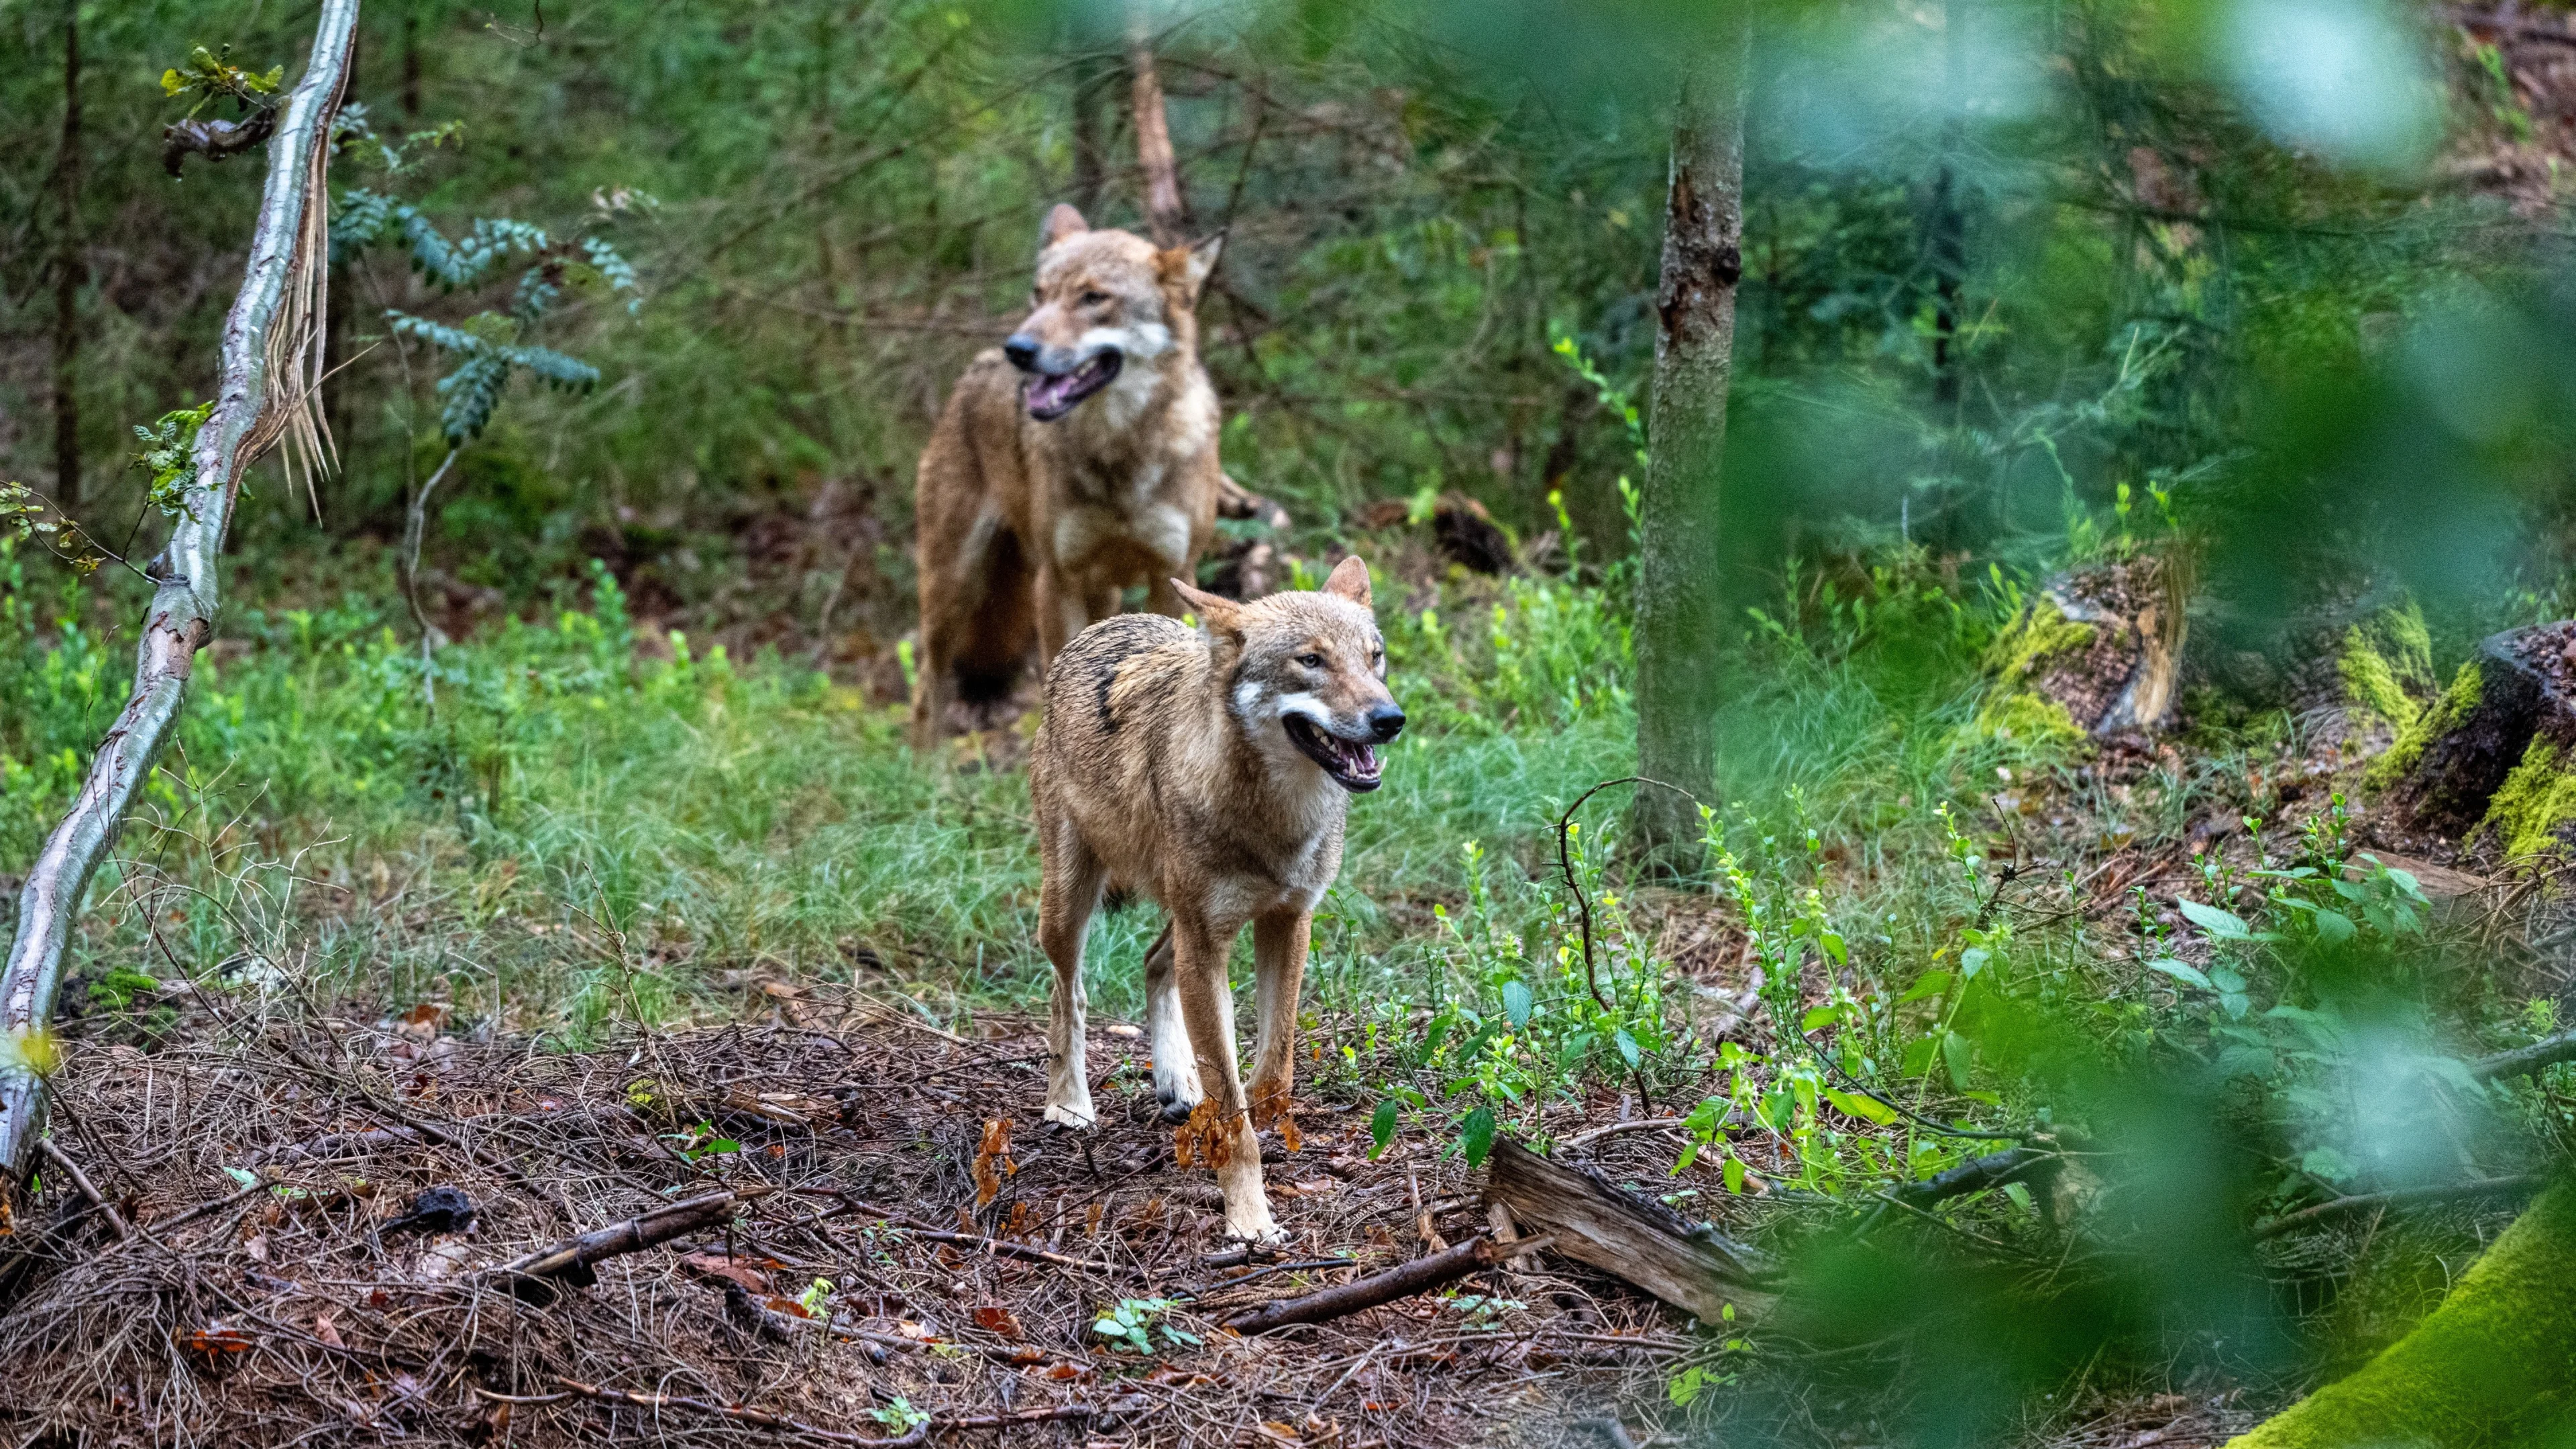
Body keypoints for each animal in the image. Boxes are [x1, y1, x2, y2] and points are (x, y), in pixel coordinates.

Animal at [910, 203, 1226, 746]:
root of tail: (976, 366)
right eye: (1040, 294)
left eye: (1093, 297)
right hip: (954, 584)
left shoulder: (1173, 577)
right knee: (928, 687)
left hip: (1102, 595)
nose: (1019, 348)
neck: (1118, 452)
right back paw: (925, 765)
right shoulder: (1057, 581)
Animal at [1028, 556, 1404, 1242]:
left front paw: (1252, 1114)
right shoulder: (1207, 942)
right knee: (1068, 994)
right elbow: (1233, 1108)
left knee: (1152, 962)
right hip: (1070, 908)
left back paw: (1177, 1083)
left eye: (1375, 657)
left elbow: (1273, 1071)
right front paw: (1250, 1221)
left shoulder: (1288, 920)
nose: (1391, 719)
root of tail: (1103, 624)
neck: (1274, 821)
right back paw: (1069, 1104)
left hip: (1179, 918)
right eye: (1312, 661)